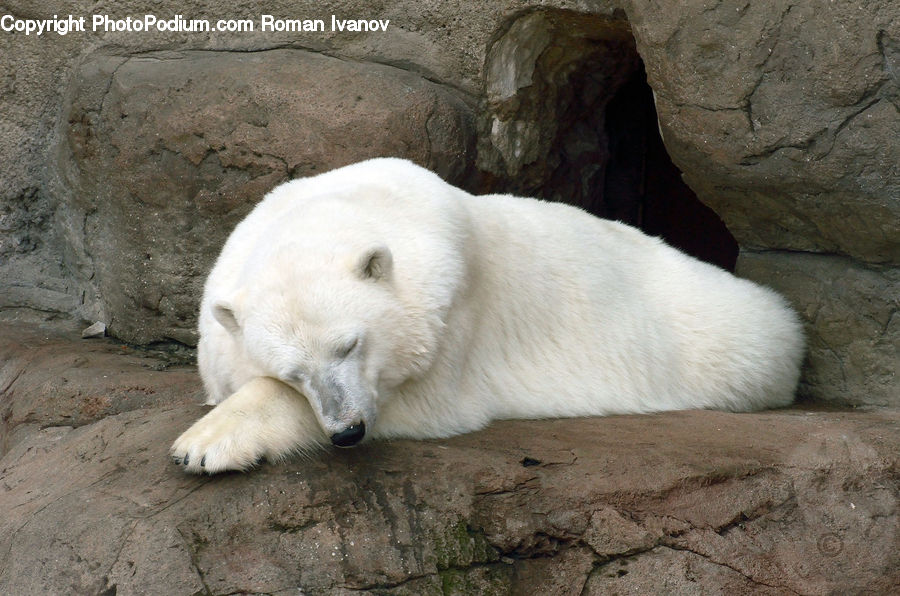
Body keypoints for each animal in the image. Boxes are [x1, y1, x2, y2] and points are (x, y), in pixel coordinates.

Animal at [171, 158, 805, 474]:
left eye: (349, 345)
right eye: (293, 371)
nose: (347, 431)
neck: (341, 208)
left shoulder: (452, 304)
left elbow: (420, 400)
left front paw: (205, 444)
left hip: (716, 333)